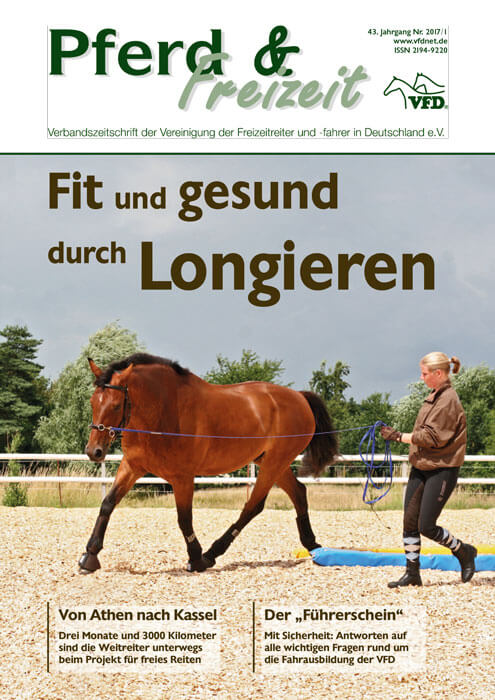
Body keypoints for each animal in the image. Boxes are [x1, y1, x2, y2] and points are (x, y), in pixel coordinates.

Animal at [80, 353, 339, 574]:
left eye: (115, 405)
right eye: (92, 402)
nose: (94, 451)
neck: (164, 412)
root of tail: (299, 397)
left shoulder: (182, 477)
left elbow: (184, 519)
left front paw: (195, 559)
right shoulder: (132, 466)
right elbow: (108, 503)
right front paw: (89, 556)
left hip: (273, 464)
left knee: (253, 506)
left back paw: (211, 554)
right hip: (274, 463)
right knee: (298, 492)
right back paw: (312, 544)